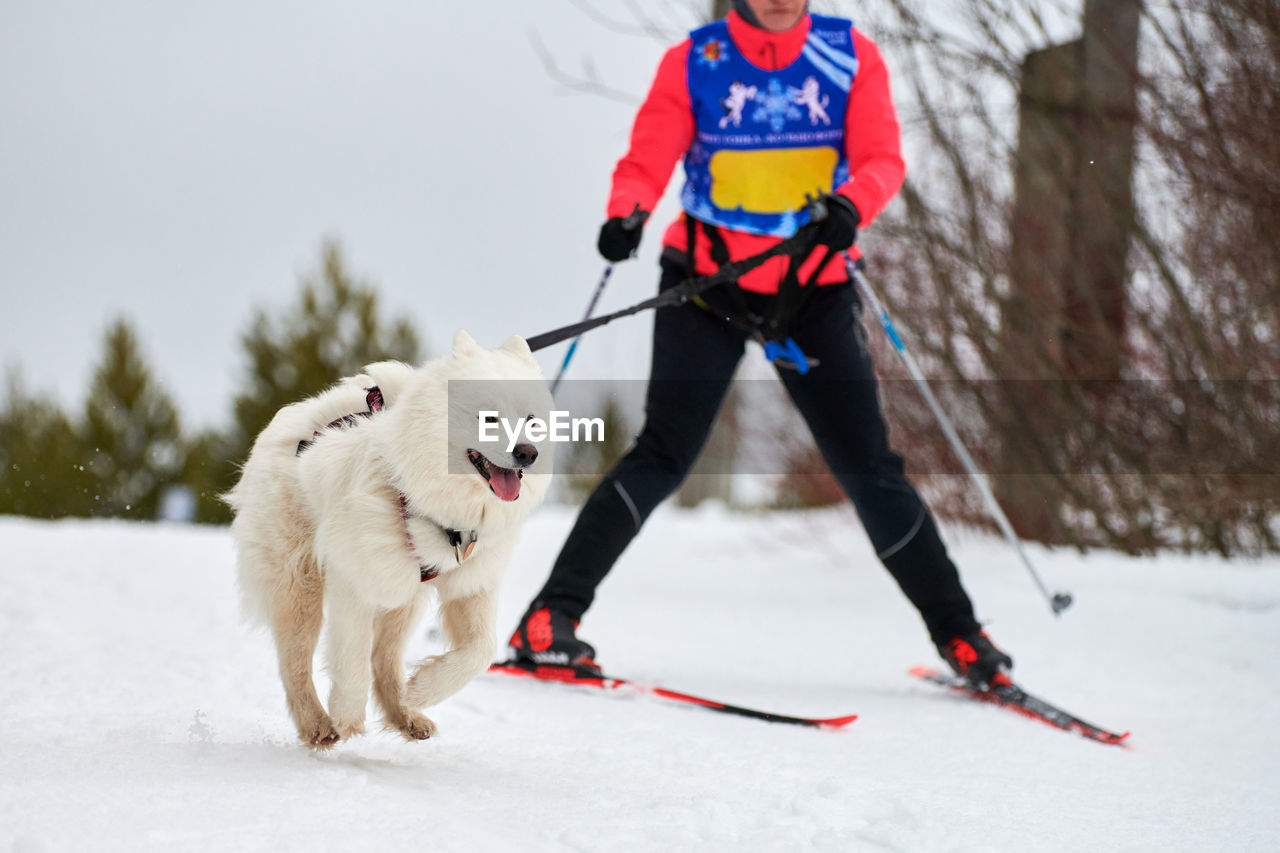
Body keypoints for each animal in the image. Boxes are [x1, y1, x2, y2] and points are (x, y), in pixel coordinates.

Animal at [226, 330, 555, 742]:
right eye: (489, 418)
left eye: (532, 421)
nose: (528, 453)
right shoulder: (353, 579)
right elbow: (351, 657)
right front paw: (347, 717)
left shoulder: (472, 583)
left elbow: (480, 651)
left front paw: (423, 689)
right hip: (300, 583)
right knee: (295, 660)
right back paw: (317, 724)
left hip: (405, 594)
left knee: (384, 657)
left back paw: (406, 712)